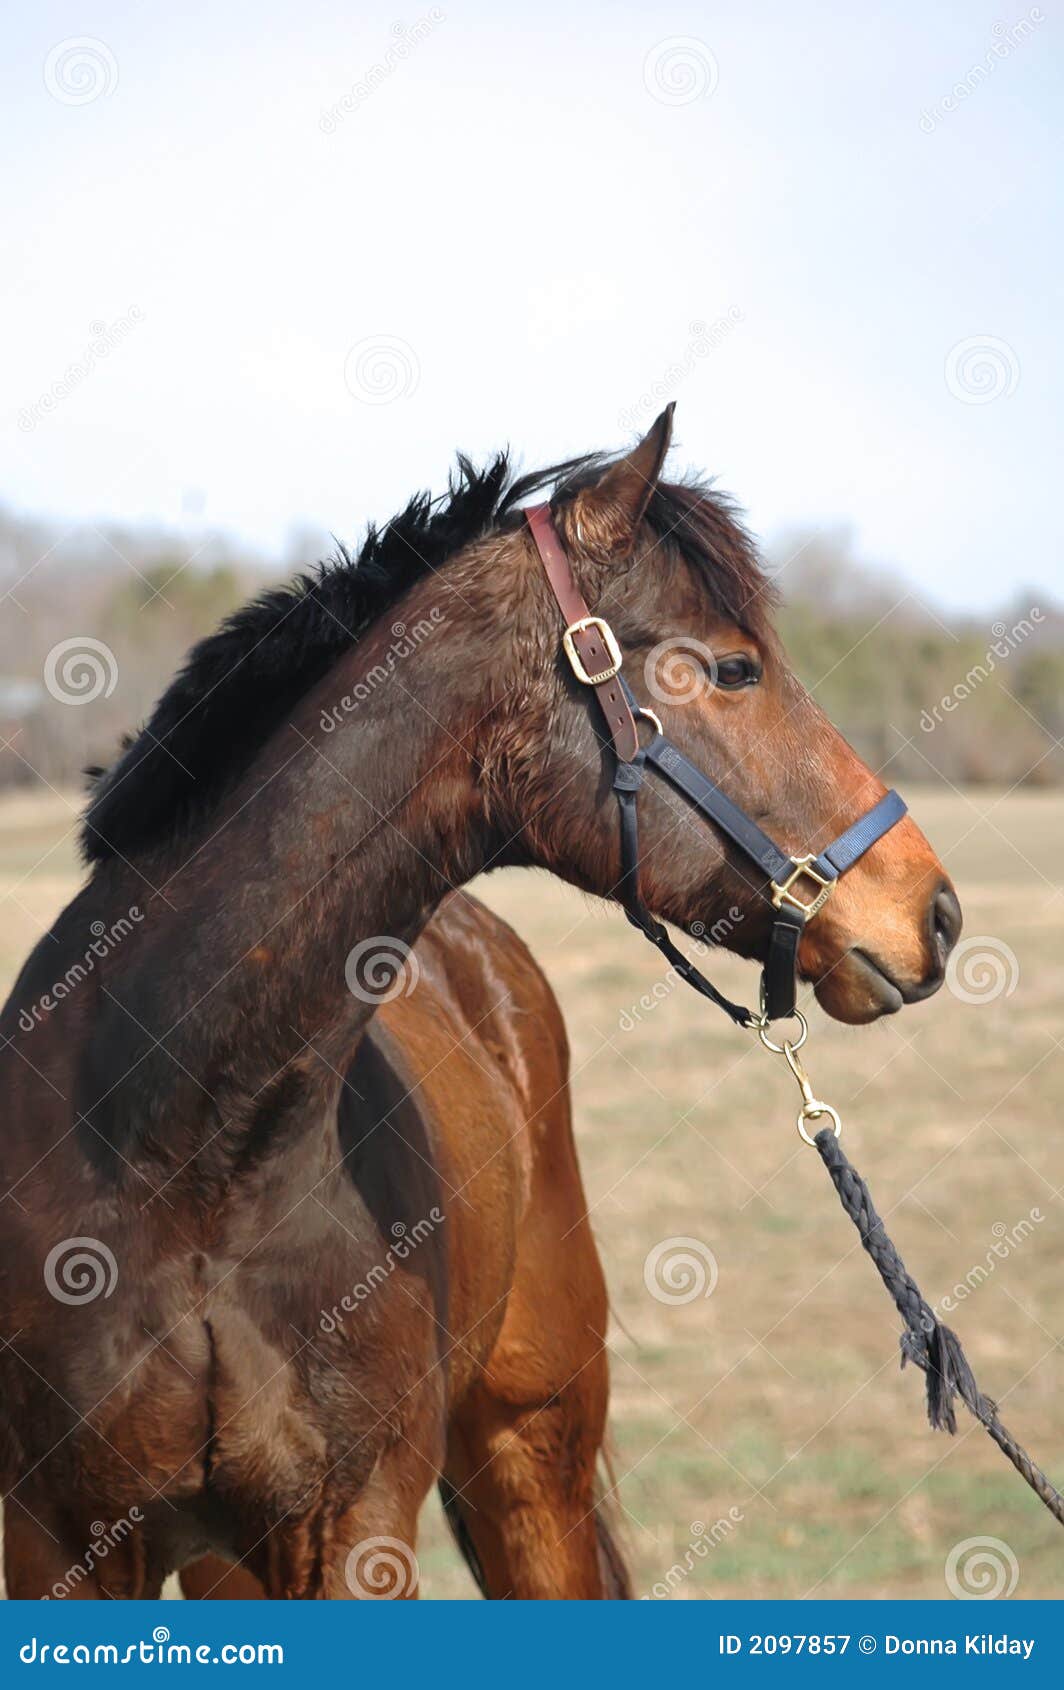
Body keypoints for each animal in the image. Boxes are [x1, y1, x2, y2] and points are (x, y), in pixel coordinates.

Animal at [0, 405, 960, 1598]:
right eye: (735, 669)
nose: (931, 911)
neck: (179, 1155)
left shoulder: (353, 1530)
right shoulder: (58, 1543)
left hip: (532, 1458)